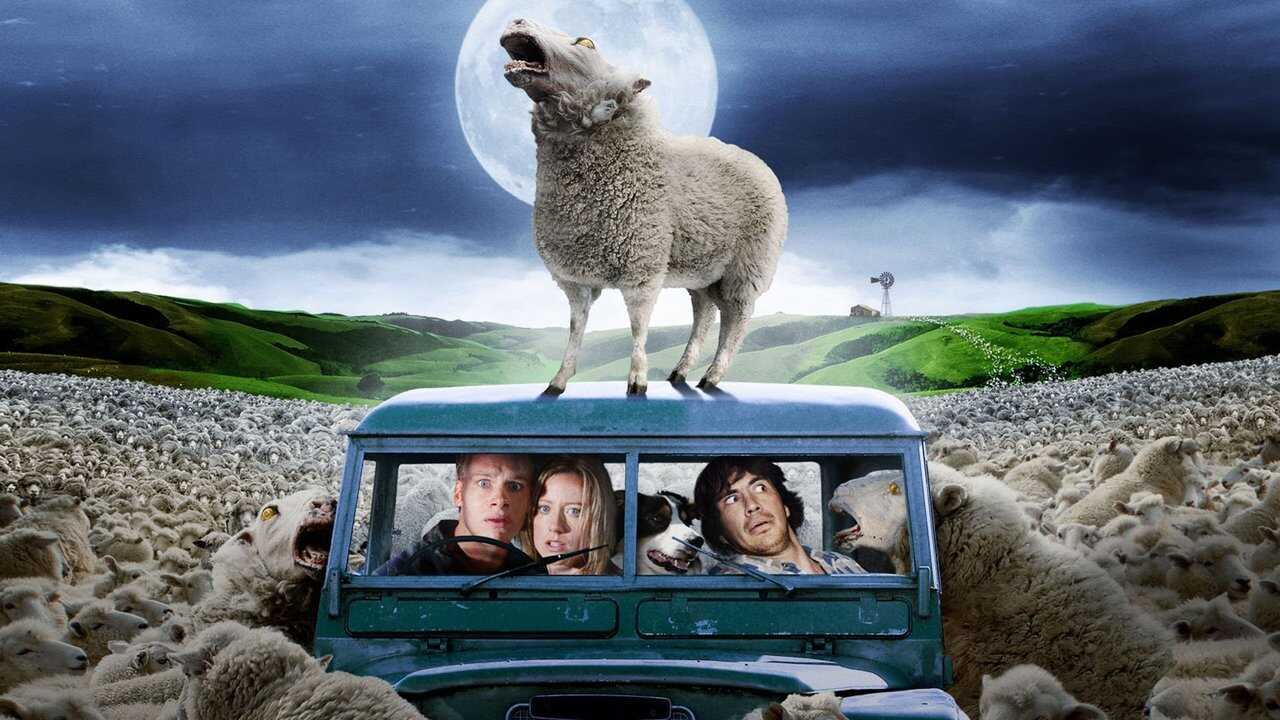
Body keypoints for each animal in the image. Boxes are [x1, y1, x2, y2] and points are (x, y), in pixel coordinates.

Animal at [502, 17, 787, 394]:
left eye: (587, 43)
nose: (517, 20)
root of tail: (756, 161)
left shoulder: (642, 265)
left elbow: (638, 325)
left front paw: (637, 380)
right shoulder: (574, 277)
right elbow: (576, 328)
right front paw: (559, 381)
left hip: (746, 266)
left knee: (736, 319)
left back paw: (712, 376)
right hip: (703, 268)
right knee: (705, 313)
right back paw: (681, 371)